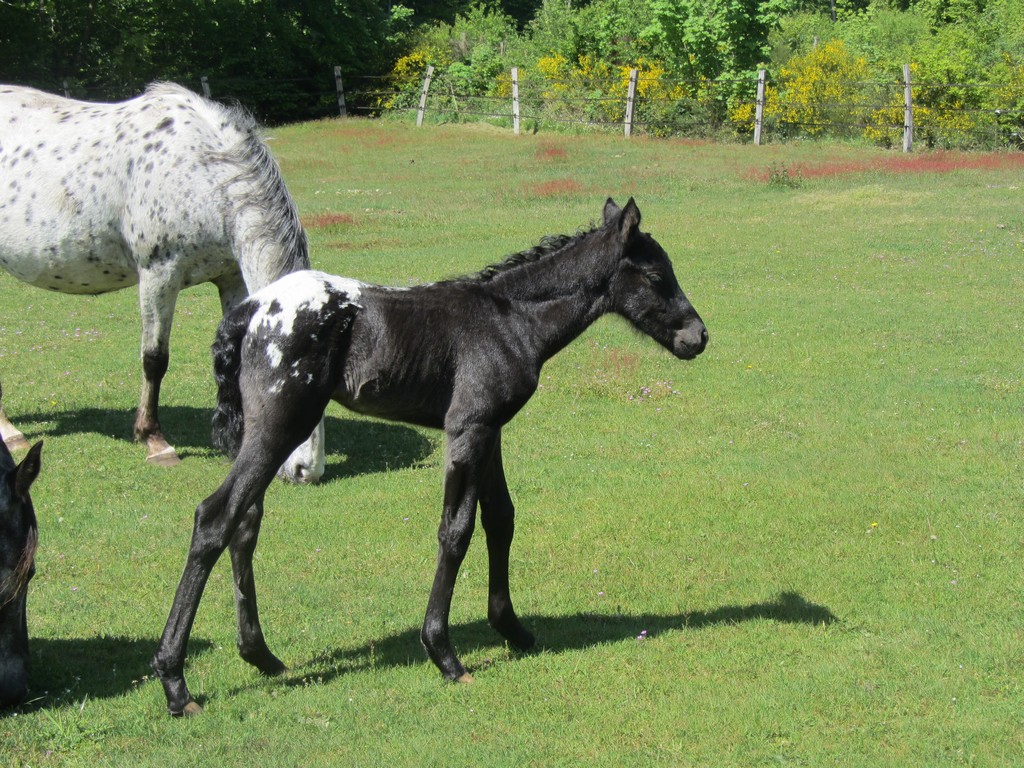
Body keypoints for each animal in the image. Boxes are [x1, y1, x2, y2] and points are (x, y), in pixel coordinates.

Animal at [0, 83, 323, 483]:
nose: (307, 471)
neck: (201, 173)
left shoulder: (231, 278)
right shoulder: (159, 275)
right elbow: (154, 359)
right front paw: (155, 440)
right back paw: (10, 432)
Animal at [151, 198, 708, 716]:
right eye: (656, 275)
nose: (698, 336)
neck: (508, 320)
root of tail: (250, 310)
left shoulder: (489, 430)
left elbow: (500, 518)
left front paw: (512, 628)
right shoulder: (467, 430)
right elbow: (456, 530)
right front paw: (444, 653)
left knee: (245, 522)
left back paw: (261, 655)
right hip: (280, 427)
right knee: (215, 518)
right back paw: (176, 683)